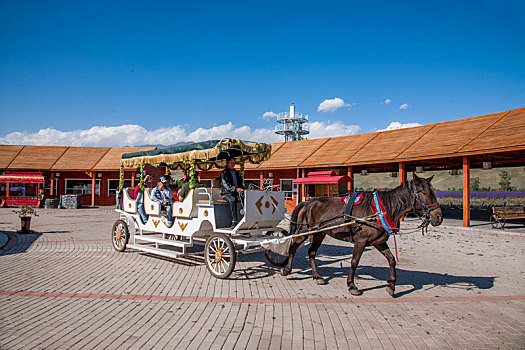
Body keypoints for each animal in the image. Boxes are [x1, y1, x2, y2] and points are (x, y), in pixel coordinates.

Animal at [282, 174, 442, 296]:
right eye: (423, 193)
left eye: (433, 192)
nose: (438, 217)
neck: (379, 210)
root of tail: (308, 202)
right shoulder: (361, 241)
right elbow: (354, 262)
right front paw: (352, 286)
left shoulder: (379, 242)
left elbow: (391, 260)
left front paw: (391, 286)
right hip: (305, 231)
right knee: (293, 246)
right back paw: (286, 269)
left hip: (319, 234)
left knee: (311, 252)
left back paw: (317, 276)